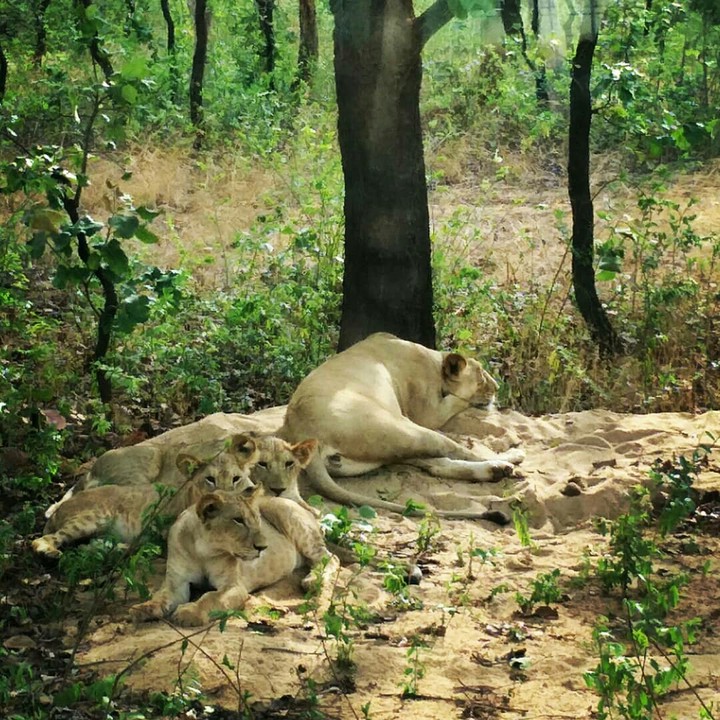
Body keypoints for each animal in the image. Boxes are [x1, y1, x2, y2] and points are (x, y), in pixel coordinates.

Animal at [130, 487, 340, 627]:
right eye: (238, 520)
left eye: (257, 520)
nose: (263, 547)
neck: (202, 551)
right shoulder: (176, 583)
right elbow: (161, 596)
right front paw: (142, 609)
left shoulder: (234, 586)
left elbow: (210, 597)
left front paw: (189, 612)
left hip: (287, 514)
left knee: (330, 557)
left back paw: (311, 580)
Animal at [279, 332, 524, 522]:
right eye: (481, 377)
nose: (497, 387)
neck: (435, 361)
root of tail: (304, 431)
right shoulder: (428, 413)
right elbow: (458, 401)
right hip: (406, 429)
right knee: (456, 452)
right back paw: (508, 461)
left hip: (392, 447)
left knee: (437, 465)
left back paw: (496, 470)